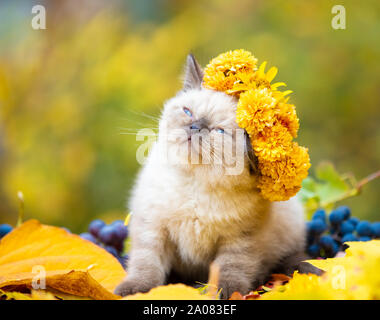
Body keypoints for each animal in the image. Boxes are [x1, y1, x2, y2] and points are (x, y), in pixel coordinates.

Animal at [114, 54, 320, 298]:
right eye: (187, 112)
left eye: (218, 131)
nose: (194, 127)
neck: (195, 183)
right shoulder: (152, 227)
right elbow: (146, 264)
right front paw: (134, 290)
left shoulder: (238, 240)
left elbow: (228, 270)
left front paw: (225, 293)